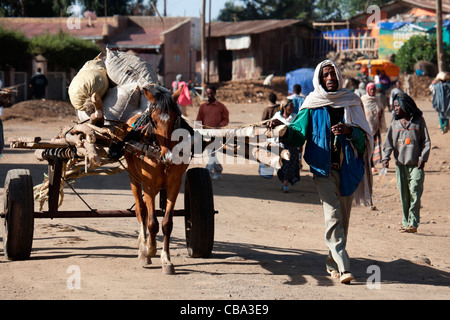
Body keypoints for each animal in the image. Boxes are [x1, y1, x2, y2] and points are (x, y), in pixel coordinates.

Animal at [123, 84, 192, 274]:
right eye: (153, 119)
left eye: (176, 118)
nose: (167, 155)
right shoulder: (149, 183)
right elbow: (152, 222)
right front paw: (150, 250)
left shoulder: (174, 184)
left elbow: (167, 223)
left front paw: (166, 260)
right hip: (134, 178)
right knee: (141, 211)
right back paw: (143, 250)